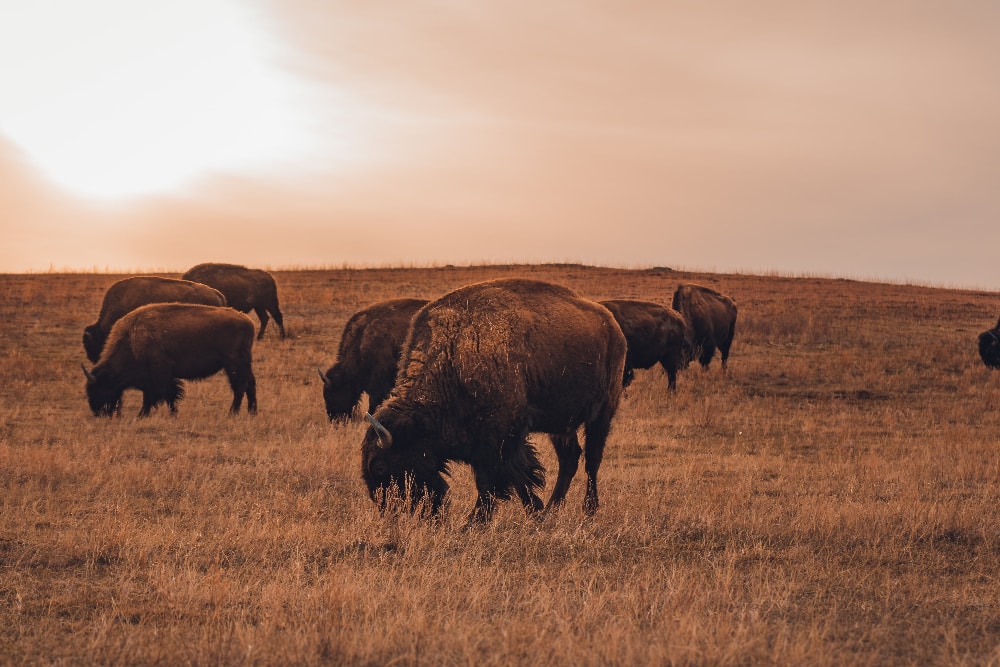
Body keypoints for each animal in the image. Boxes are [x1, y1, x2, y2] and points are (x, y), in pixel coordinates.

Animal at [82, 304, 258, 418]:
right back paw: (252, 412)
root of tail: (247, 320)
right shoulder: (153, 378)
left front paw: (148, 414)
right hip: (242, 364)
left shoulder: (160, 374)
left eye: (100, 388)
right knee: (250, 383)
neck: (132, 338)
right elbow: (159, 395)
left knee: (240, 386)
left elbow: (164, 394)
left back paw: (232, 413)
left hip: (233, 364)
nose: (97, 412)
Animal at [360, 278, 624, 528]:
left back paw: (589, 511)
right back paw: (552, 510)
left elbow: (492, 479)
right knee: (569, 458)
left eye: (380, 466)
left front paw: (473, 522)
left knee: (592, 459)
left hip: (603, 412)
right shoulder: (502, 441)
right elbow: (519, 475)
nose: (389, 511)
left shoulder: (498, 437)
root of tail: (612, 326)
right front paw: (535, 513)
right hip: (561, 423)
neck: (454, 356)